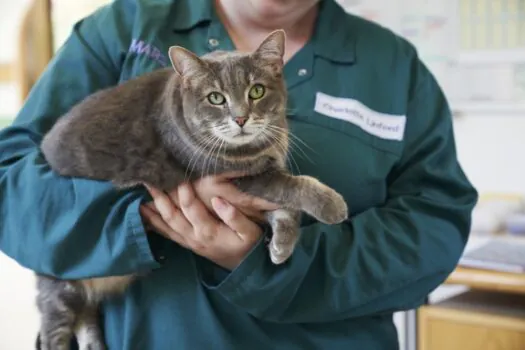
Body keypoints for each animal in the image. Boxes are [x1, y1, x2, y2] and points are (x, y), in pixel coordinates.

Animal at [35, 30, 348, 350]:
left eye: (257, 91)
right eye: (216, 98)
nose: (240, 118)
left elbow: (284, 206)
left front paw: (281, 245)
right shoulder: (240, 176)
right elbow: (291, 185)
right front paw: (332, 204)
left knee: (85, 318)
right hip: (61, 287)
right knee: (54, 332)